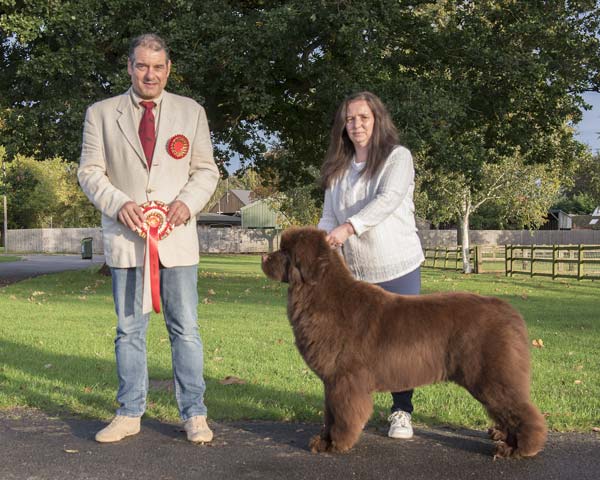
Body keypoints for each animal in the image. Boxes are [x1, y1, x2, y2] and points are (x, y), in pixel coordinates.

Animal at [260, 227, 548, 460]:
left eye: (285, 251)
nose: (263, 258)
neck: (319, 294)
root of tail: (509, 311)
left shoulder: (344, 380)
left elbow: (342, 415)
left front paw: (336, 445)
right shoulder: (331, 381)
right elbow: (329, 414)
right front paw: (323, 441)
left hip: (492, 375)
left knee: (521, 411)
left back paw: (520, 449)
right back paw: (506, 442)